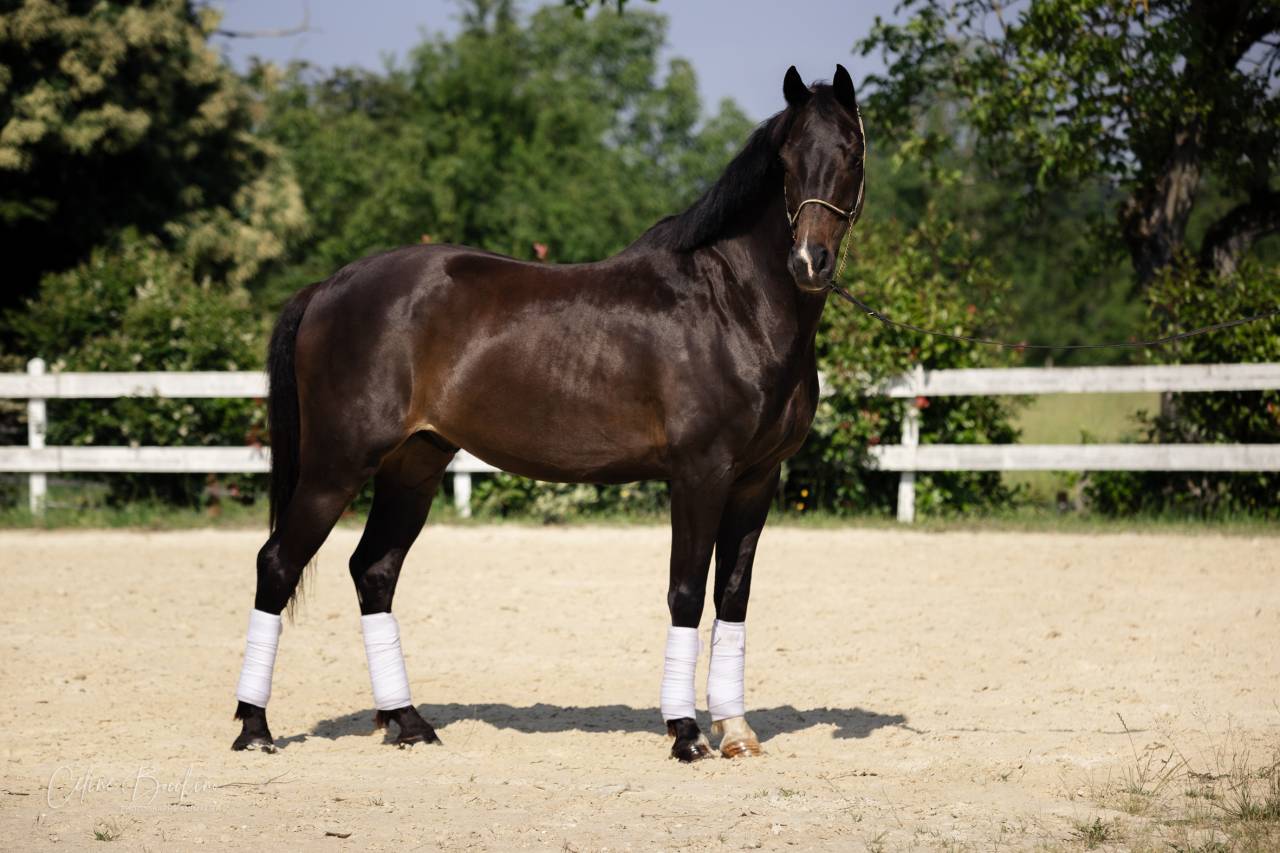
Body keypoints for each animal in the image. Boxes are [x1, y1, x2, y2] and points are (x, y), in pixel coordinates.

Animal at [232, 64, 867, 763]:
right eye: (785, 160)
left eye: (851, 154)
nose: (809, 262)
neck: (732, 305)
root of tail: (328, 287)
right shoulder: (701, 473)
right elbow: (685, 591)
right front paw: (685, 732)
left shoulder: (757, 479)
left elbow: (733, 595)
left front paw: (737, 730)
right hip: (335, 466)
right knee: (278, 564)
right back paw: (255, 729)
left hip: (414, 466)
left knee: (373, 571)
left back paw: (409, 722)